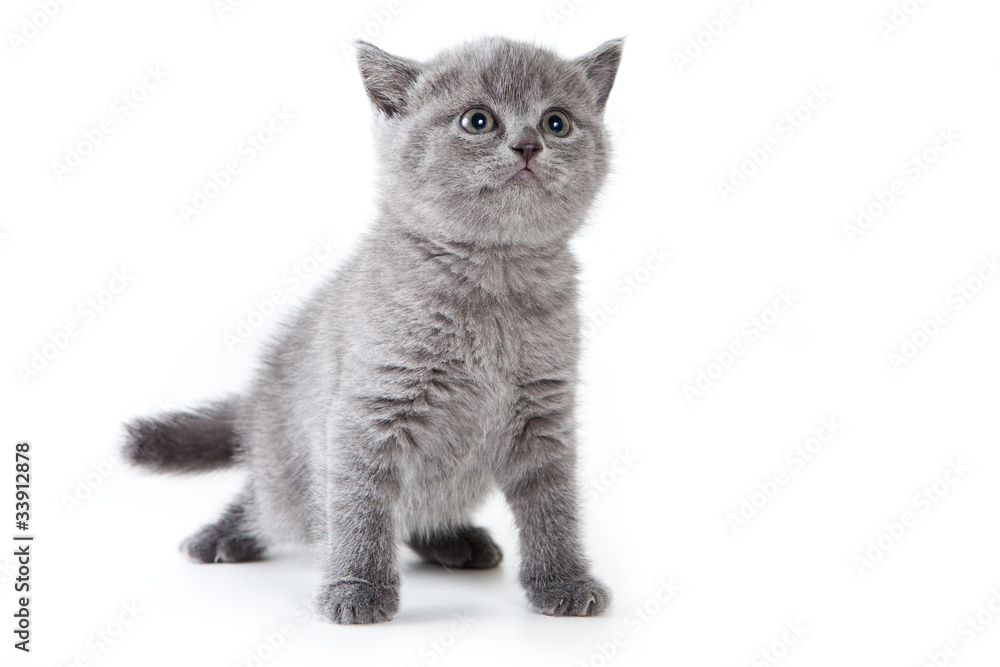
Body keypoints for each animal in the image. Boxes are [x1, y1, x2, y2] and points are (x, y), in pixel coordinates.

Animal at [121, 34, 620, 624]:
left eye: (556, 122)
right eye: (477, 121)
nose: (528, 145)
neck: (493, 280)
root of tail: (257, 399)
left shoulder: (545, 414)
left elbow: (552, 505)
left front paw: (564, 581)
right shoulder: (371, 407)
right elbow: (361, 506)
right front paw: (357, 588)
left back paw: (454, 541)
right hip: (288, 465)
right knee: (272, 500)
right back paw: (223, 536)